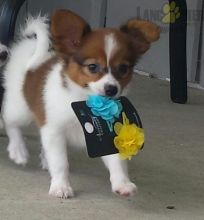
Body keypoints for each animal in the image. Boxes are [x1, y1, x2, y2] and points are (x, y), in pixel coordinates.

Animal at [2, 9, 160, 199]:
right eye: (92, 67)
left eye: (123, 69)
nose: (111, 89)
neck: (84, 100)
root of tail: (29, 46)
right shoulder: (54, 130)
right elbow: (60, 162)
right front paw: (60, 186)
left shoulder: (106, 137)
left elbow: (117, 162)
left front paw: (122, 183)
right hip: (21, 109)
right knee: (10, 122)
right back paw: (18, 150)